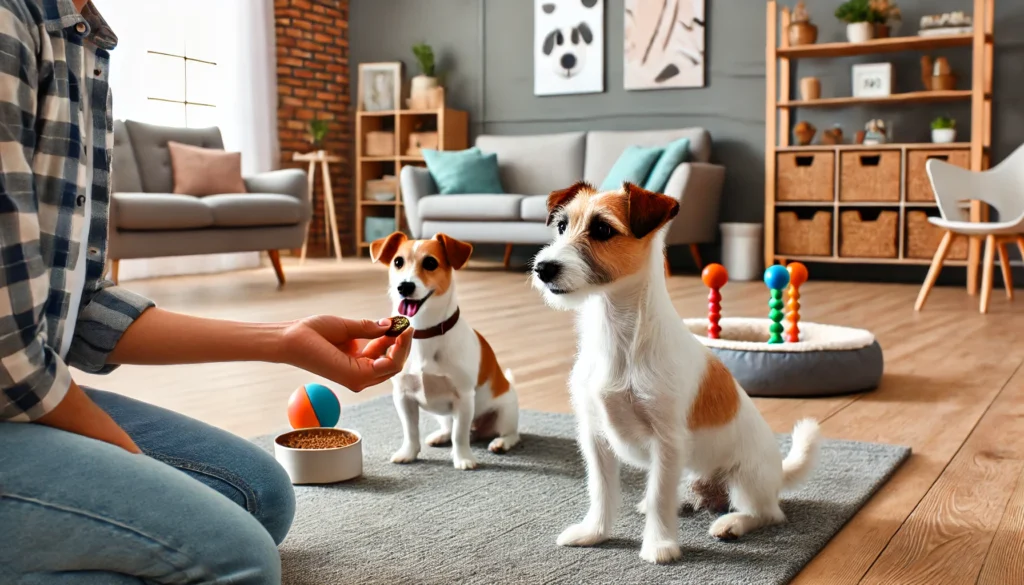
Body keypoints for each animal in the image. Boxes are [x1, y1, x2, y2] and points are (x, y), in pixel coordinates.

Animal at [370, 231, 520, 469]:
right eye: (398, 262)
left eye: (430, 263)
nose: (404, 286)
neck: (425, 332)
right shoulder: (403, 397)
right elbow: (410, 431)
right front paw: (408, 453)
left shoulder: (464, 398)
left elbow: (460, 435)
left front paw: (463, 459)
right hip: (445, 414)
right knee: (450, 428)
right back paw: (440, 436)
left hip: (505, 412)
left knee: (509, 434)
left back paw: (500, 443)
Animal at [532, 182, 819, 561]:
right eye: (562, 226)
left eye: (603, 230)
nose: (543, 268)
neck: (619, 336)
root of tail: (779, 473)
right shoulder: (595, 436)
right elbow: (602, 490)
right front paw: (595, 532)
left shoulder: (666, 440)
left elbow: (659, 497)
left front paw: (659, 545)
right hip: (690, 471)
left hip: (745, 479)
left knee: (767, 514)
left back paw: (732, 523)